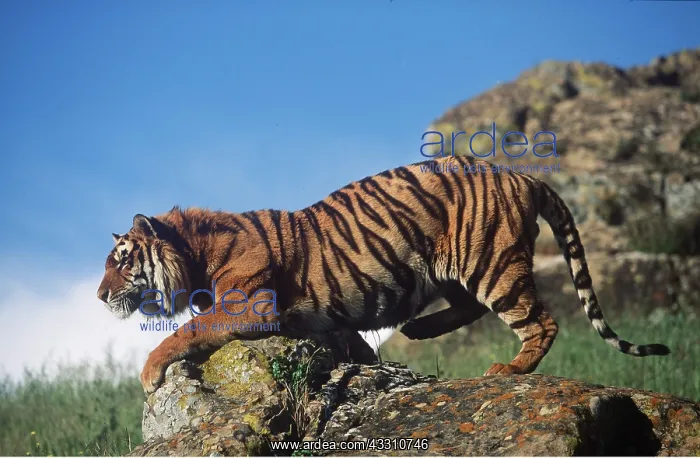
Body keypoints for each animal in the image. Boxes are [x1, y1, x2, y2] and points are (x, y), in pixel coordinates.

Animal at [97, 155, 670, 394]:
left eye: (122, 259)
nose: (100, 297)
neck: (193, 257)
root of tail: (520, 174)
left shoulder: (246, 306)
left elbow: (185, 331)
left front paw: (149, 374)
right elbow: (353, 345)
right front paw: (371, 362)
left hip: (491, 261)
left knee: (541, 322)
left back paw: (507, 370)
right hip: (454, 267)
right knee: (468, 307)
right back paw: (417, 329)